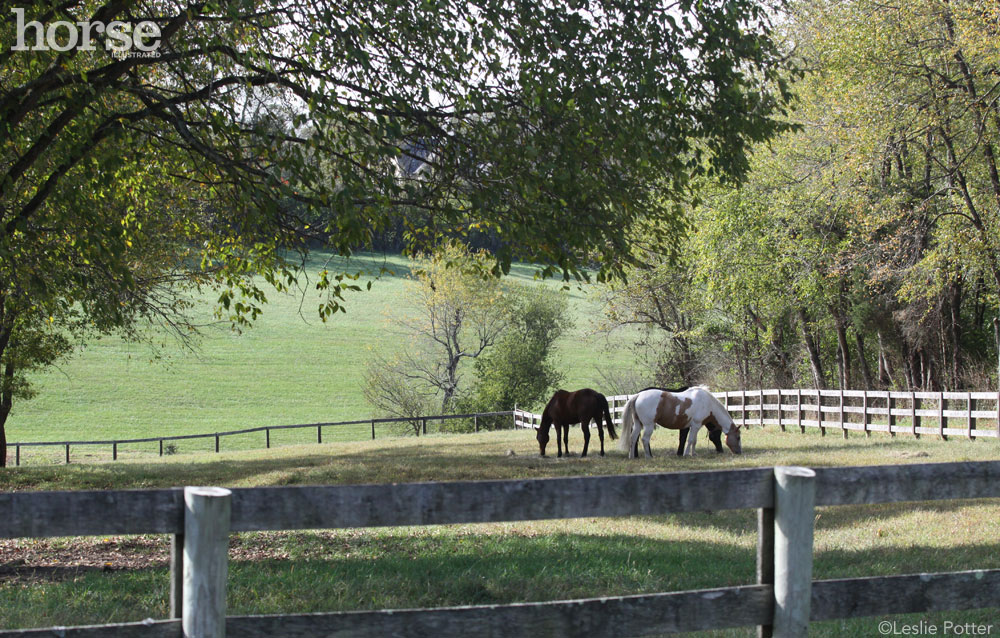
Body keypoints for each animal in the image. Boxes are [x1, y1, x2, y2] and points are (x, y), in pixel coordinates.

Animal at [616, 384, 744, 460]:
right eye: (738, 437)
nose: (739, 452)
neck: (707, 402)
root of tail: (638, 395)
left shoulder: (695, 426)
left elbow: (694, 441)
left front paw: (693, 454)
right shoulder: (695, 425)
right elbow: (690, 440)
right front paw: (686, 454)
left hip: (638, 424)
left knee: (633, 438)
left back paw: (632, 456)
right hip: (648, 425)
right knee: (644, 439)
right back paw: (648, 456)